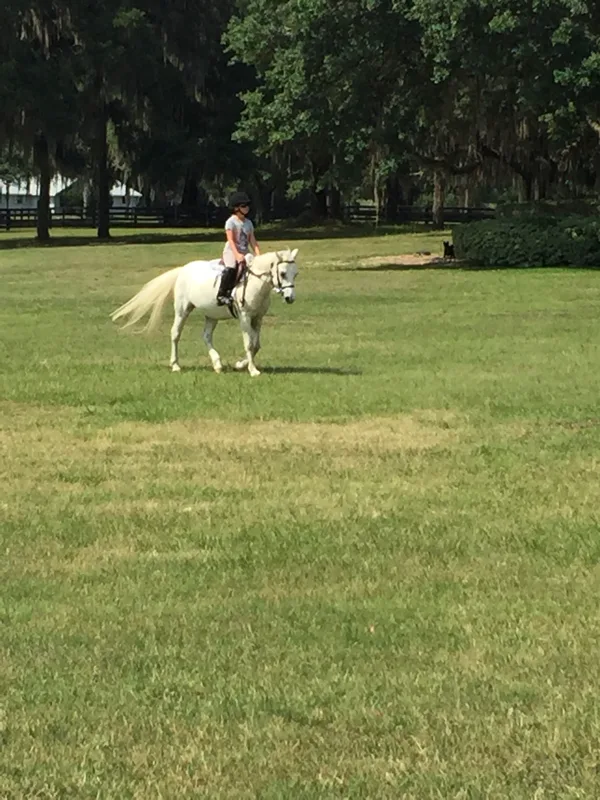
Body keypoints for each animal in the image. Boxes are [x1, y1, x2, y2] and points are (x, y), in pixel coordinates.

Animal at [111, 248, 299, 377]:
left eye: (295, 274)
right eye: (283, 273)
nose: (290, 298)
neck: (255, 283)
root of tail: (183, 269)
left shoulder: (258, 318)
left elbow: (256, 344)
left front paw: (240, 364)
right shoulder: (245, 317)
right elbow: (249, 343)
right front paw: (252, 370)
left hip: (211, 315)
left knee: (206, 336)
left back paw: (217, 364)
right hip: (182, 309)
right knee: (175, 334)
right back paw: (176, 365)